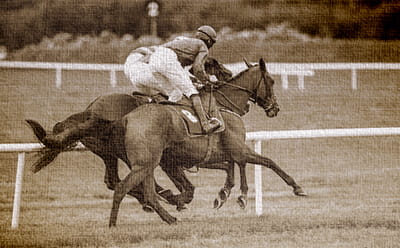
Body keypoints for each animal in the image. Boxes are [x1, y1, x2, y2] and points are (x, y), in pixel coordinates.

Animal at [108, 58, 304, 227]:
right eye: (271, 81)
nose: (275, 108)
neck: (223, 105)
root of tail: (127, 118)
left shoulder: (211, 155)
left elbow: (231, 166)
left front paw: (224, 194)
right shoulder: (238, 149)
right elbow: (267, 162)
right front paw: (296, 187)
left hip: (149, 165)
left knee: (149, 194)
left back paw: (170, 217)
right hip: (144, 164)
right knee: (121, 188)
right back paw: (113, 224)